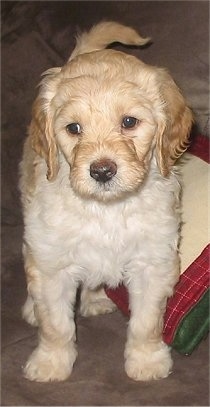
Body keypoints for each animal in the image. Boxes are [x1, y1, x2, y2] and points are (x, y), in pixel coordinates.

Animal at [18, 22, 193, 382]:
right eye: (73, 128)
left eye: (129, 122)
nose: (101, 171)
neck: (106, 208)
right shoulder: (53, 262)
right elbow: (55, 323)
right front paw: (51, 363)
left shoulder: (152, 262)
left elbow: (146, 322)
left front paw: (147, 361)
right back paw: (32, 308)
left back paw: (96, 298)